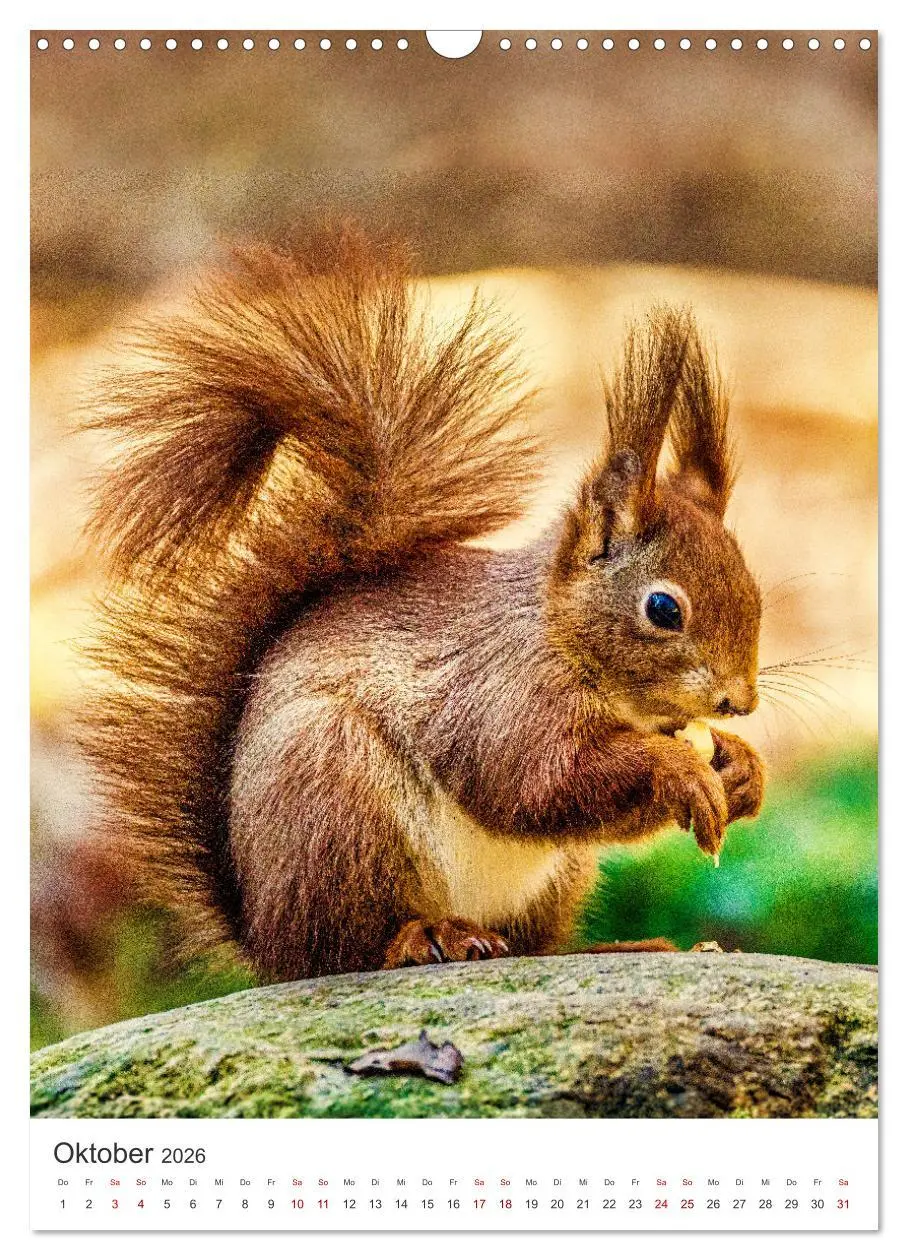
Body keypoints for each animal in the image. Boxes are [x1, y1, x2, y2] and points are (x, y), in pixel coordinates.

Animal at [82, 227, 765, 981]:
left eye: (754, 589)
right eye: (664, 610)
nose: (740, 701)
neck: (558, 636)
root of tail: (264, 938)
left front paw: (742, 770)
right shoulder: (500, 697)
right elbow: (535, 783)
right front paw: (680, 768)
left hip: (554, 878)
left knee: (533, 944)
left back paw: (617, 945)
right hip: (336, 807)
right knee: (346, 949)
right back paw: (424, 937)